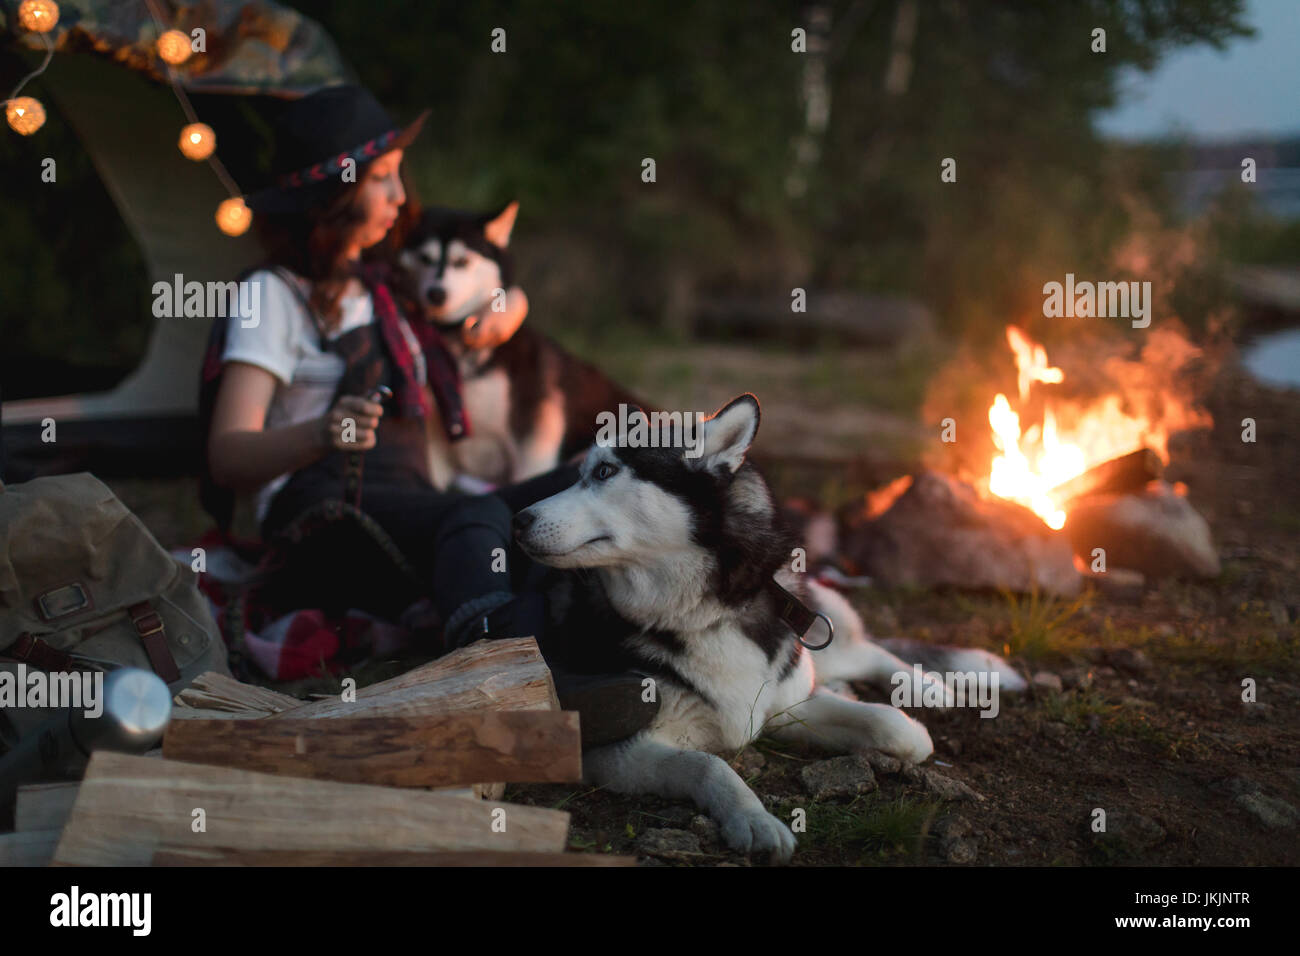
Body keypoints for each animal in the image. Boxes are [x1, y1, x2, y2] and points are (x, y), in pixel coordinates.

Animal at [512, 392, 1008, 863]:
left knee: (865, 649)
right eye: (581, 472)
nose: (518, 520)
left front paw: (911, 724)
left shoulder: (782, 704)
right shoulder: (616, 750)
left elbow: (893, 727)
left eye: (604, 471)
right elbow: (711, 766)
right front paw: (755, 821)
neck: (708, 615)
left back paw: (928, 687)